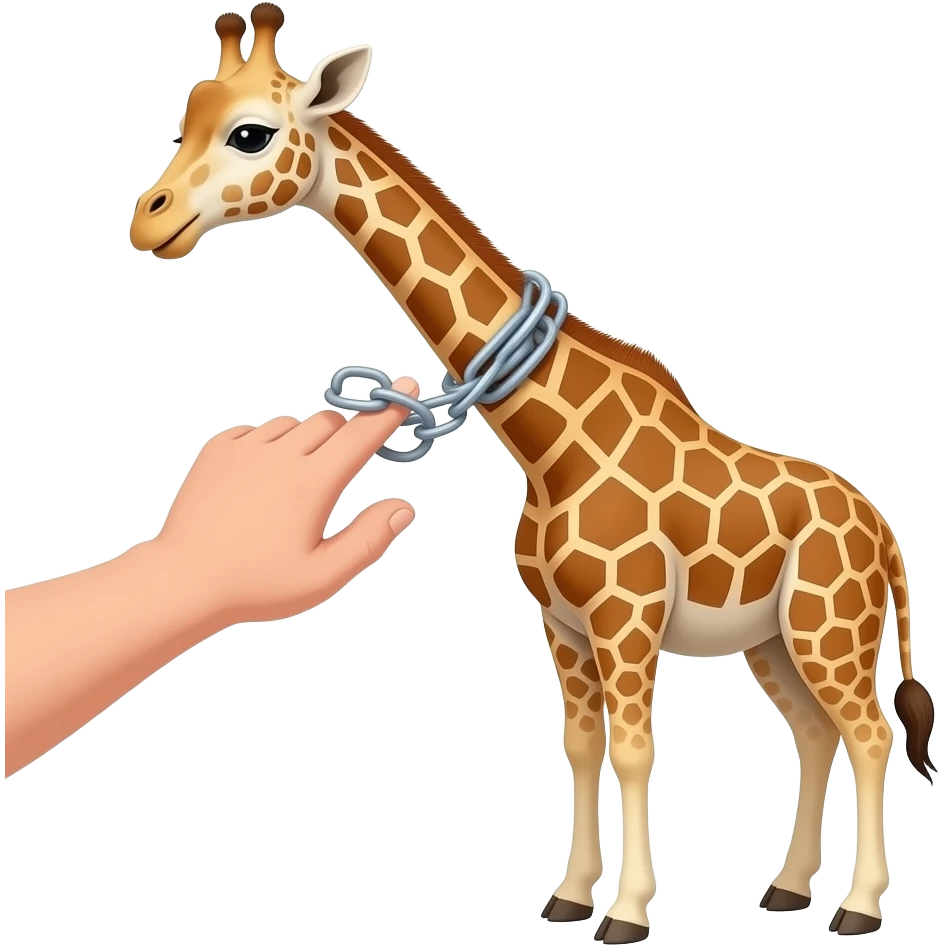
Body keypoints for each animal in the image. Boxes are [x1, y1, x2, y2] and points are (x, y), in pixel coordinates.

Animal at [128, 6, 936, 942]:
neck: (547, 447)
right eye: (185, 118)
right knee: (815, 733)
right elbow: (581, 748)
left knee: (869, 732)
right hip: (772, 638)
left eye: (251, 133)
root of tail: (884, 534)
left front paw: (627, 913)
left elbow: (635, 750)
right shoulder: (562, 622)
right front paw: (571, 896)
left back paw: (859, 907)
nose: (148, 222)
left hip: (828, 625)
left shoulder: (626, 618)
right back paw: (788, 888)